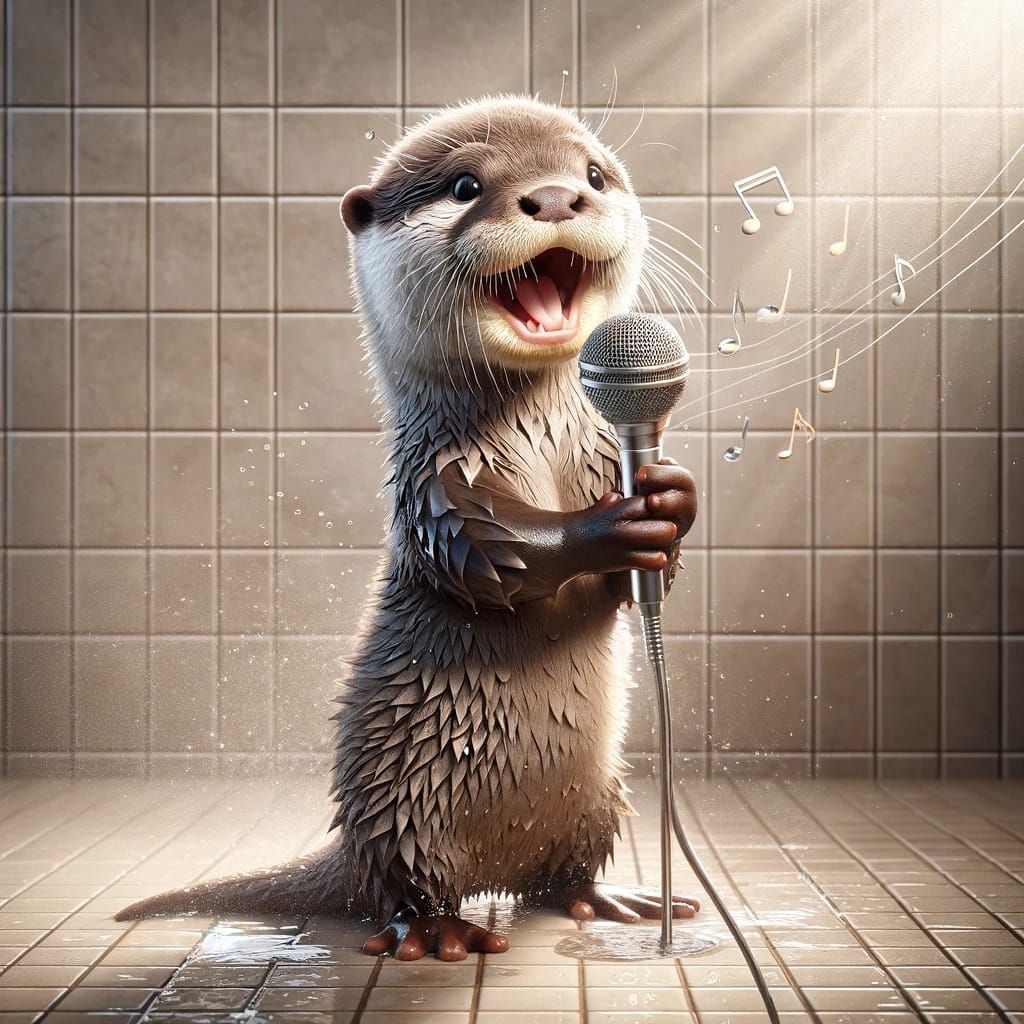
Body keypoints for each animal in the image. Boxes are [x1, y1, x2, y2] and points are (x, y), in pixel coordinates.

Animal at [117, 95, 700, 961]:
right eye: (465, 186)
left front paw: (671, 500)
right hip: (404, 797)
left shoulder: (602, 446)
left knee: (563, 878)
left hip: (599, 793)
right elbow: (492, 554)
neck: (545, 442)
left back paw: (611, 900)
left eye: (595, 175)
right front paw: (611, 524)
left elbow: (630, 588)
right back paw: (440, 933)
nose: (557, 197)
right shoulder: (436, 483)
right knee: (406, 884)